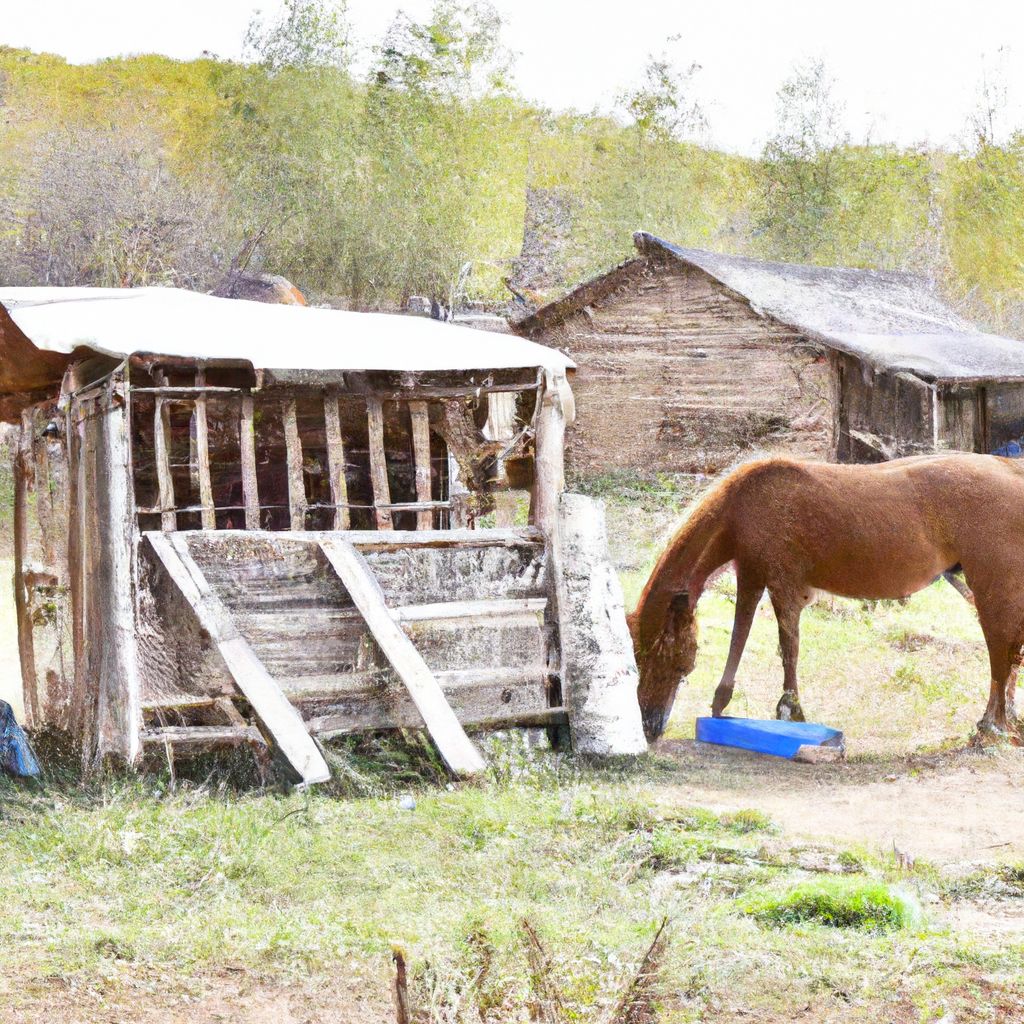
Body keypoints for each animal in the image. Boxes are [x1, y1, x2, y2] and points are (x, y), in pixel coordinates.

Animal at [630, 452, 1024, 741]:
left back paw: (992, 724)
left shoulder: (779, 584)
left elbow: (783, 647)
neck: (742, 506)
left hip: (991, 587)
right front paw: (724, 704)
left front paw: (789, 710)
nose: (649, 726)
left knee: (1000, 653)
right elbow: (747, 637)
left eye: (671, 662)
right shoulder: (756, 577)